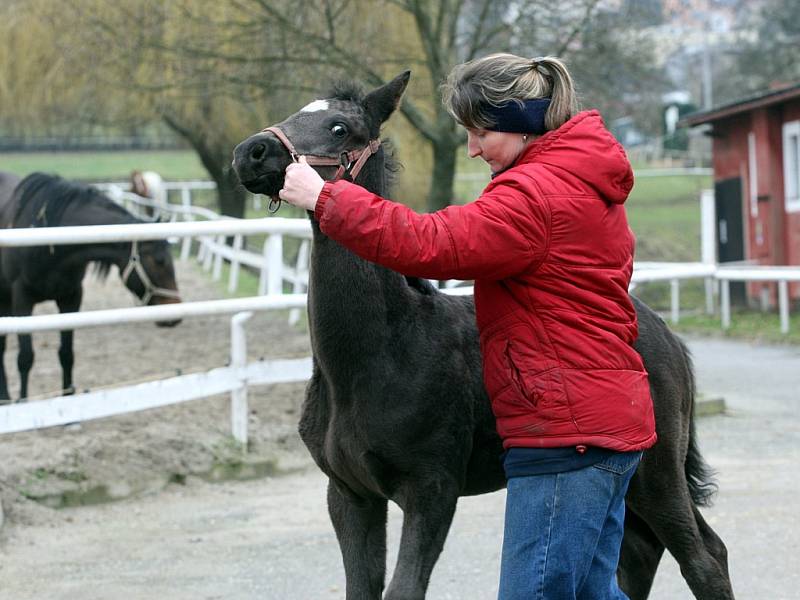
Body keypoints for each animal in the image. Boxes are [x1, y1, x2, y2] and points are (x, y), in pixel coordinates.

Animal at [0, 171, 181, 400]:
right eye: (159, 261)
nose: (175, 312)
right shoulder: (22, 300)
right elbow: (25, 358)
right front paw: (23, 401)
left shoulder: (71, 298)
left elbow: (67, 354)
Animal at [230, 75, 732, 600]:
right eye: (294, 114)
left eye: (339, 127)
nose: (252, 152)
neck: (376, 357)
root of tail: (669, 337)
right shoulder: (350, 493)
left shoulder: (432, 488)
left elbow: (404, 588)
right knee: (641, 551)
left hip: (657, 472)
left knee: (702, 557)